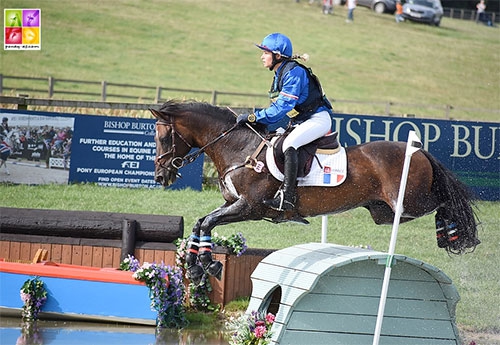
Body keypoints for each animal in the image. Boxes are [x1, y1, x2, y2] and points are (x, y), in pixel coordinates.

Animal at [149, 99, 480, 282]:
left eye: (163, 138)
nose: (160, 176)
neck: (237, 147)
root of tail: (419, 151)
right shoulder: (233, 204)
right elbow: (201, 222)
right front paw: (197, 267)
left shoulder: (250, 207)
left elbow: (208, 222)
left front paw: (207, 265)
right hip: (383, 212)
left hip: (408, 202)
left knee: (446, 200)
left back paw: (452, 233)